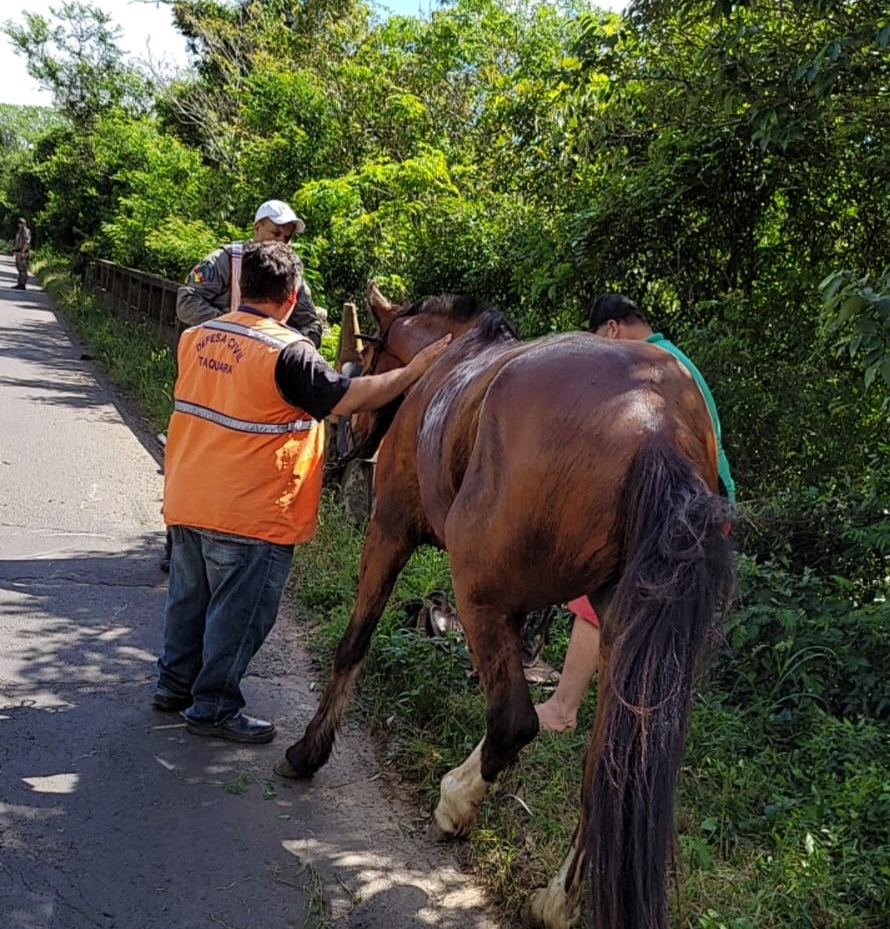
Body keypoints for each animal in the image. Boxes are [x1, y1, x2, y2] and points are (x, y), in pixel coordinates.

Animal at [275, 283, 735, 929]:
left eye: (366, 356)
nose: (345, 435)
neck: (447, 360)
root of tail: (654, 423)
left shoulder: (390, 526)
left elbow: (354, 642)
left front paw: (311, 749)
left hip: (477, 591)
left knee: (514, 722)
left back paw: (455, 802)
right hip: (616, 629)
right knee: (607, 766)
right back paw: (555, 899)